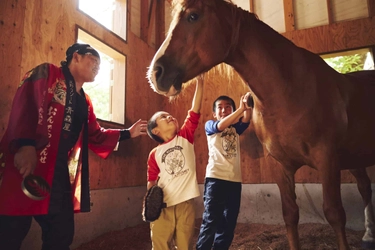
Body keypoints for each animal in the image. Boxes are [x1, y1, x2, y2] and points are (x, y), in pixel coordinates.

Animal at [148, 0, 375, 250]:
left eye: (193, 16)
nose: (155, 73)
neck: (291, 90)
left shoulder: (327, 159)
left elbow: (334, 213)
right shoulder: (280, 165)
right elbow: (290, 214)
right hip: (353, 158)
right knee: (365, 187)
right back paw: (368, 235)